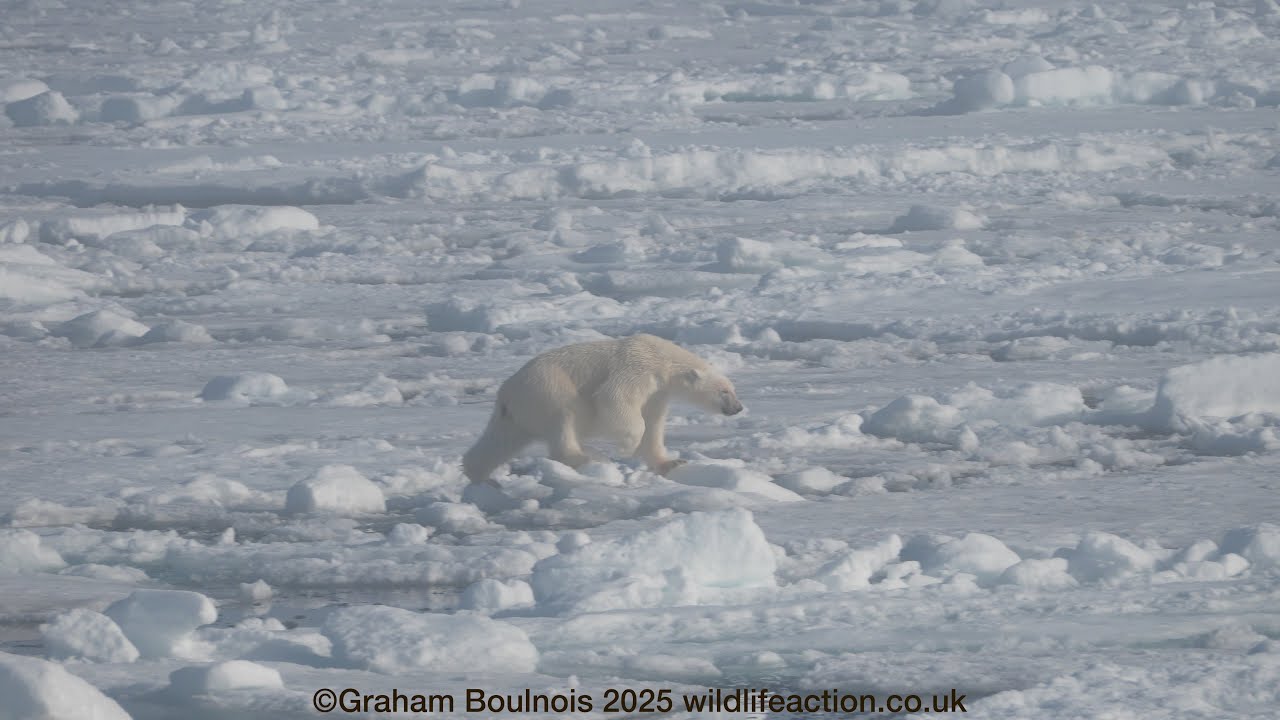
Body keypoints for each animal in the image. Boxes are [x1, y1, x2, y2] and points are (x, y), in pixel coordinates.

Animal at [462, 334, 743, 483]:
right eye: (724, 391)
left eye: (732, 389)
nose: (738, 408)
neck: (662, 360)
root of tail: (507, 393)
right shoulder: (637, 368)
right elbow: (614, 397)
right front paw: (627, 445)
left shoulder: (657, 393)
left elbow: (653, 424)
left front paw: (671, 462)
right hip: (547, 388)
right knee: (565, 417)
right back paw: (590, 457)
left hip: (517, 413)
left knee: (499, 441)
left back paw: (478, 475)